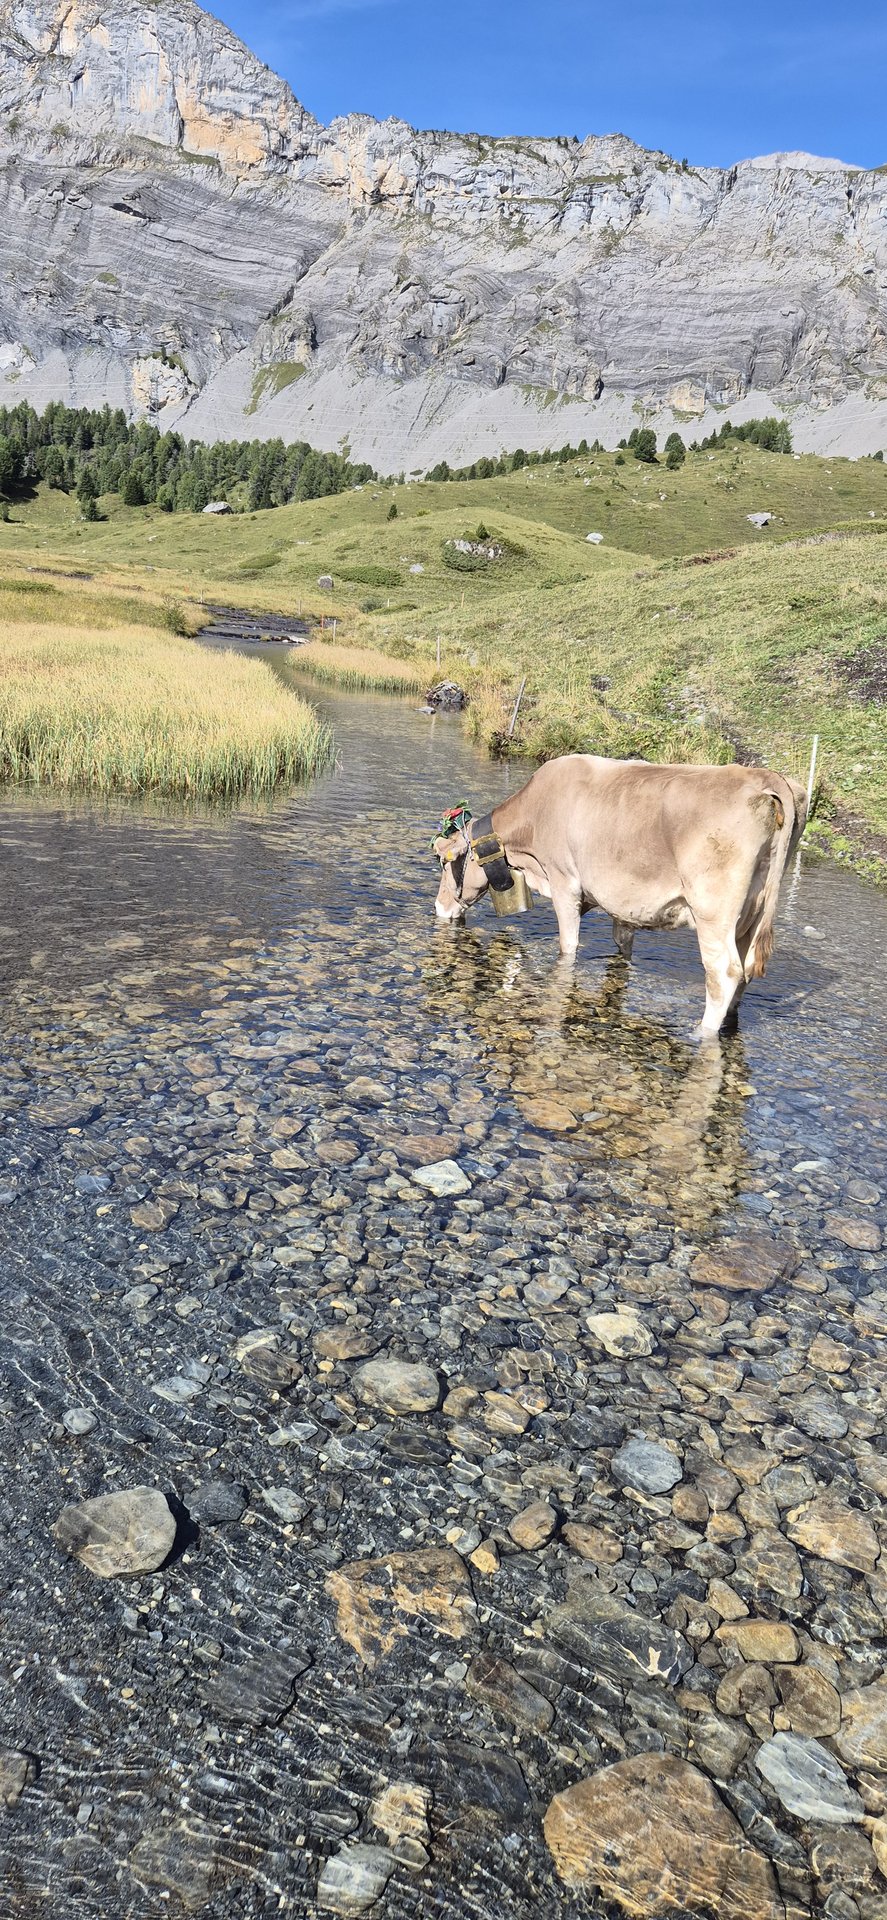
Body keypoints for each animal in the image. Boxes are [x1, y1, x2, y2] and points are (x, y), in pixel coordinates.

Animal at [432, 755, 808, 1038]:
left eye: (445, 862)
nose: (438, 907)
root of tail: (763, 777)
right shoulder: (622, 904)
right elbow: (622, 946)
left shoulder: (565, 885)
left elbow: (568, 947)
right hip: (751, 916)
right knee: (745, 969)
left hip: (713, 911)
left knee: (724, 974)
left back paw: (701, 1033)